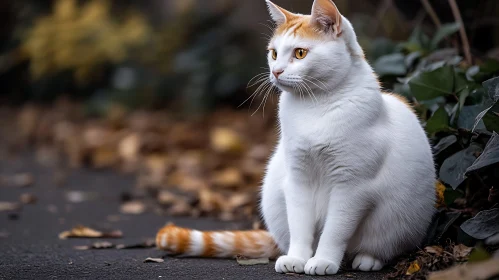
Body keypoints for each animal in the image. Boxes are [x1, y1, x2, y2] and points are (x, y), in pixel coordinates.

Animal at [156, 0, 438, 276]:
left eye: (300, 53)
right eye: (273, 53)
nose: (276, 71)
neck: (314, 106)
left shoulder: (351, 186)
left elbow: (335, 232)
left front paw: (323, 260)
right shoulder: (298, 178)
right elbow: (300, 227)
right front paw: (297, 259)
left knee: (380, 247)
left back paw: (367, 259)